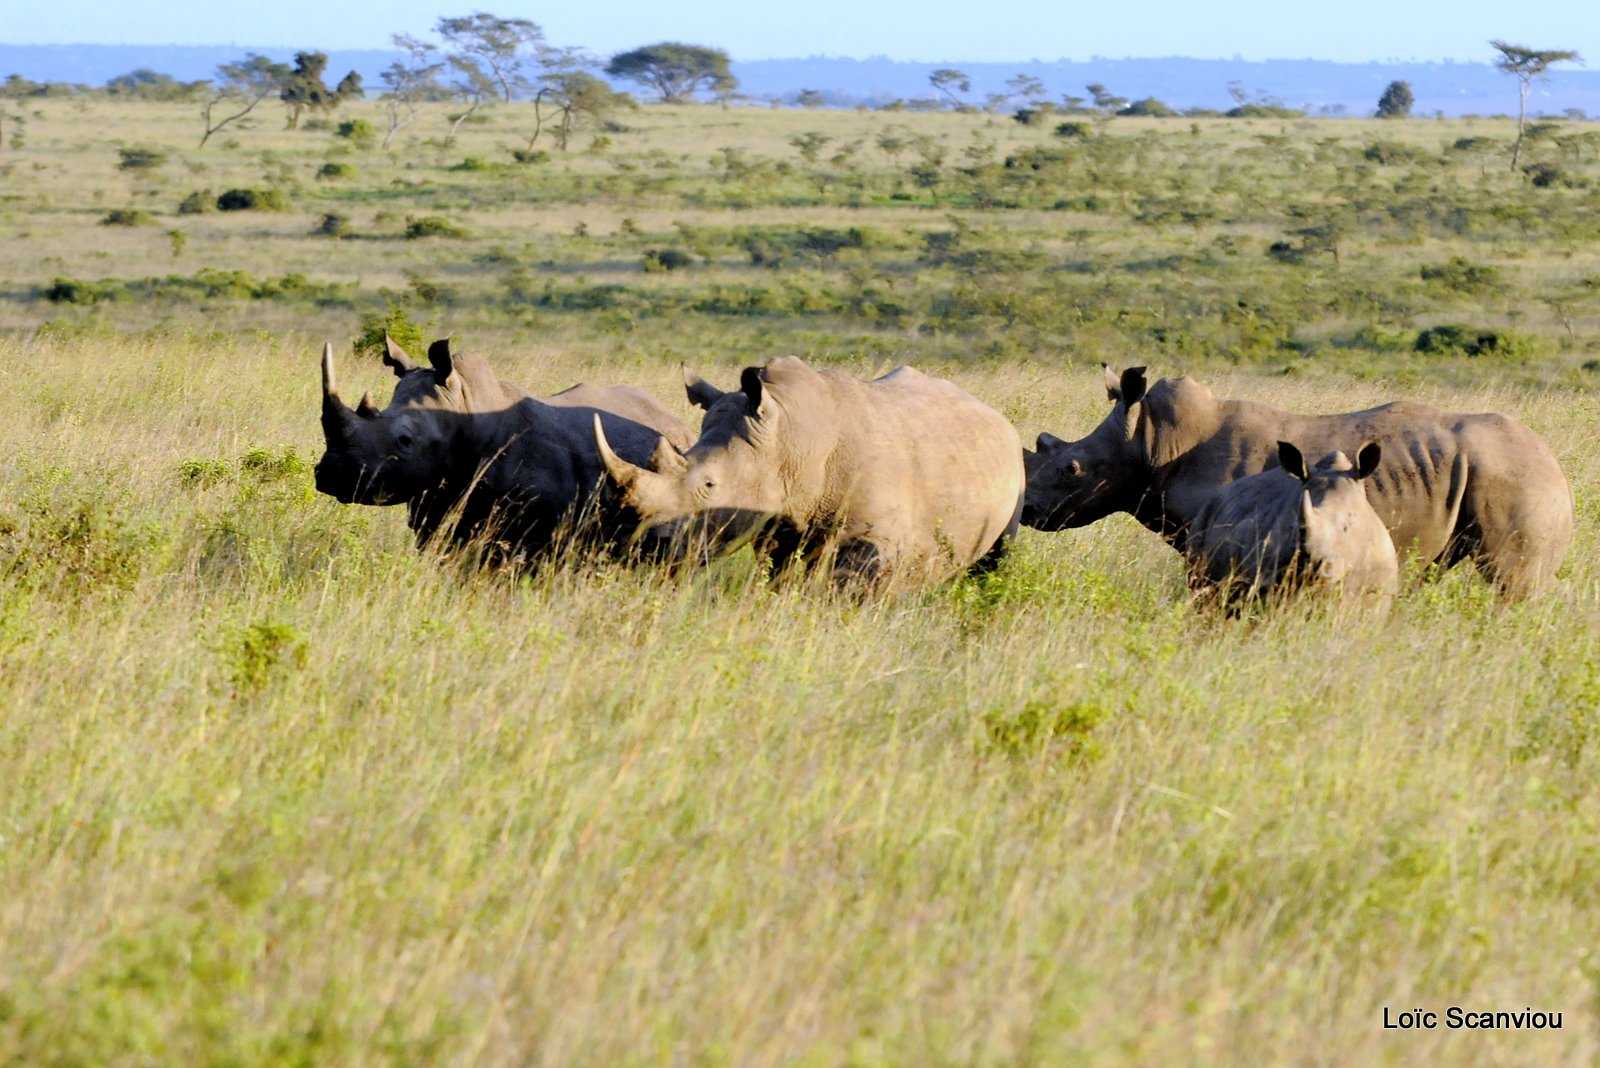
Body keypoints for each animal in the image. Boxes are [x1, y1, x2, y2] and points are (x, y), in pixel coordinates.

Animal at [588, 354, 1024, 588]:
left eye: (710, 485)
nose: (647, 550)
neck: (790, 439)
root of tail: (997, 417)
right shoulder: (779, 524)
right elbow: (780, 580)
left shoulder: (874, 542)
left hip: (1015, 468)